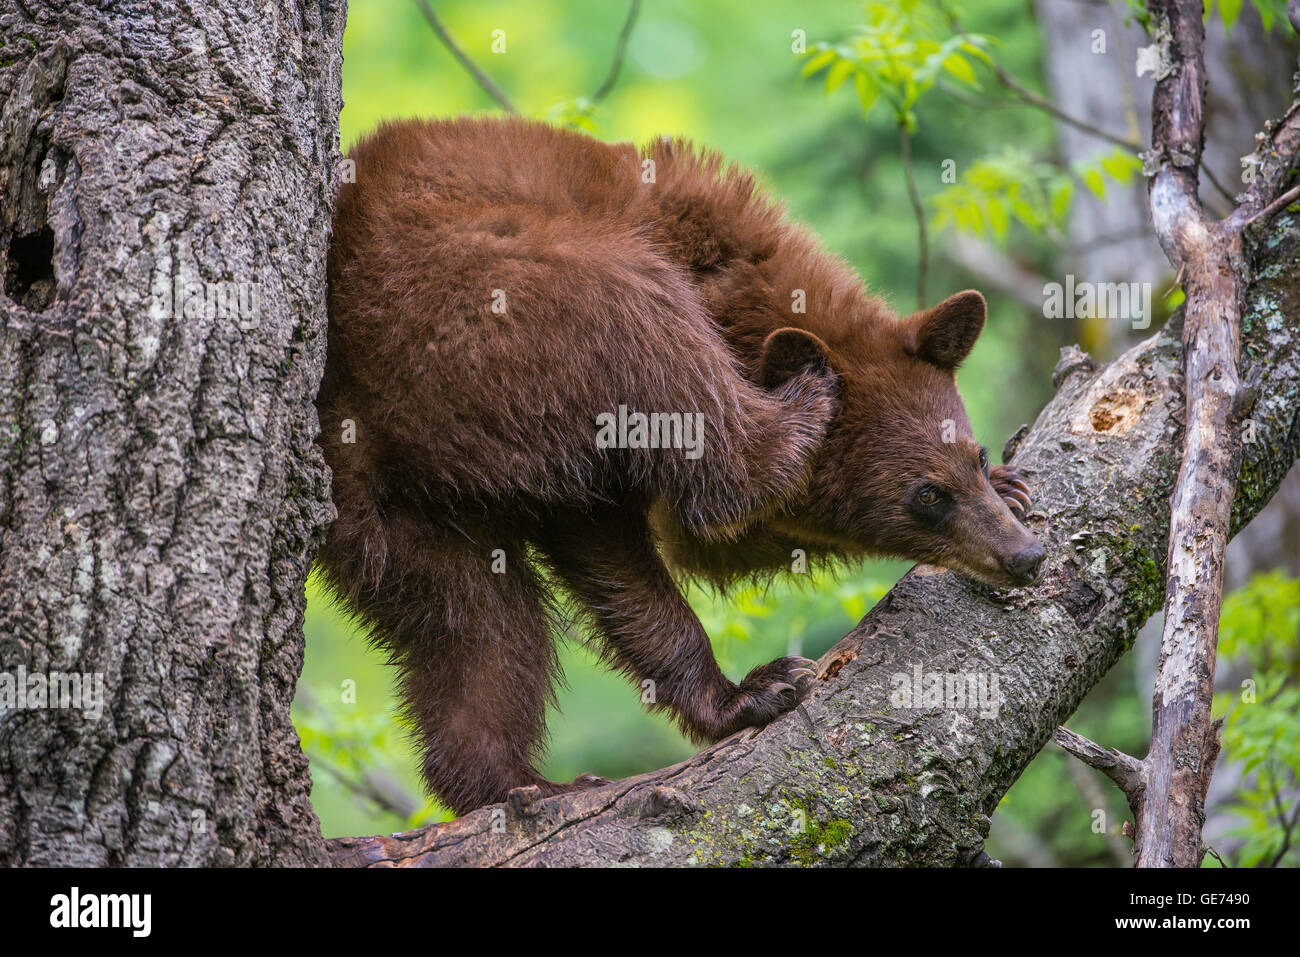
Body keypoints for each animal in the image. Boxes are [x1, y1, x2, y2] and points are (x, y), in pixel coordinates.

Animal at [317, 115, 1044, 816]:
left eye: (973, 455)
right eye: (926, 495)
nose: (1025, 556)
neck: (731, 283)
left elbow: (681, 546)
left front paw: (1013, 482)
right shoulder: (583, 421)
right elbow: (679, 524)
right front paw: (747, 690)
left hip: (394, 520)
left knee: (475, 624)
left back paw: (515, 782)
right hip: (483, 293)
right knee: (640, 318)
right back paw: (803, 403)